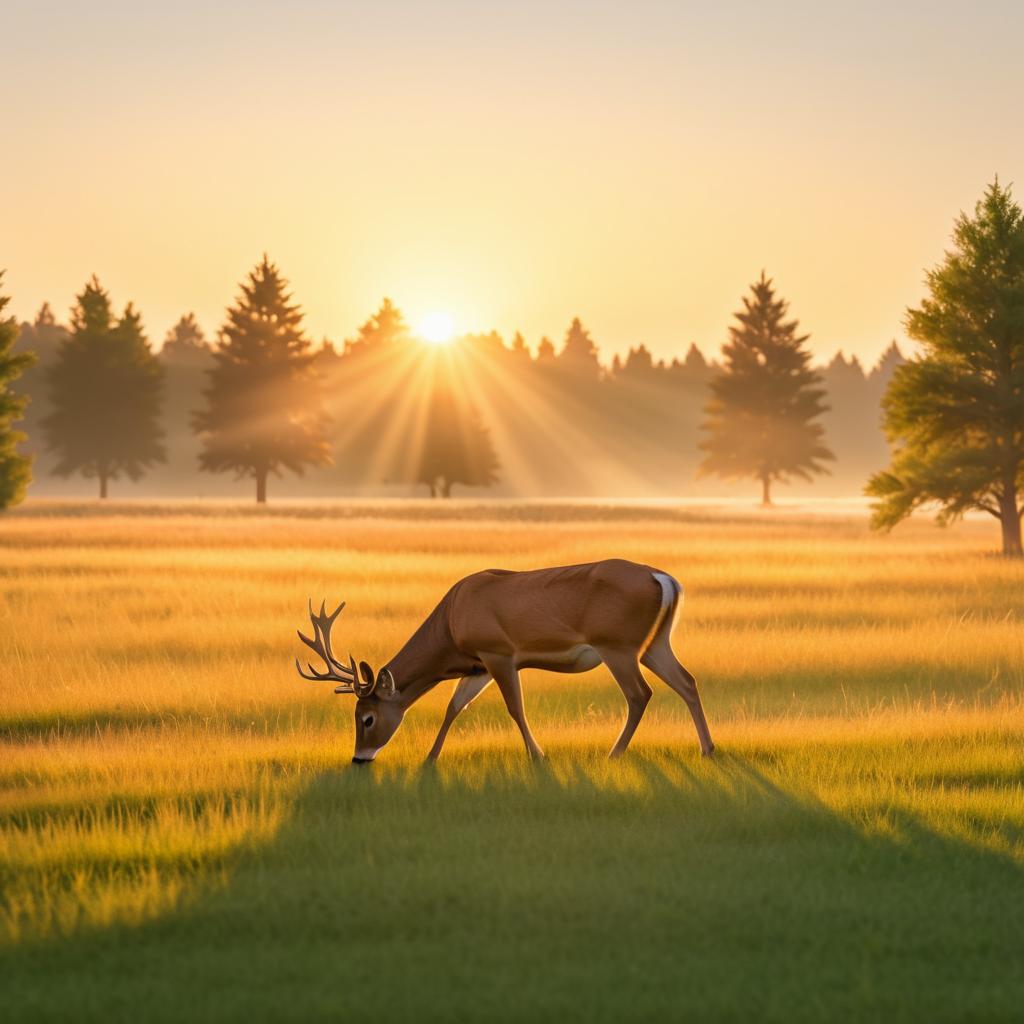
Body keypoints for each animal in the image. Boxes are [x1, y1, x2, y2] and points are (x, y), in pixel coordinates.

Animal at [294, 561, 712, 761]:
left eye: (366, 718)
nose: (359, 759)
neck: (451, 623)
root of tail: (664, 579)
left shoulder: (498, 652)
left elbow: (515, 707)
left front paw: (538, 756)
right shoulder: (477, 665)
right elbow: (454, 707)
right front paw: (429, 760)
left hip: (618, 645)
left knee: (640, 694)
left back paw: (614, 753)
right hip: (655, 643)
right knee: (687, 681)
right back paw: (707, 749)